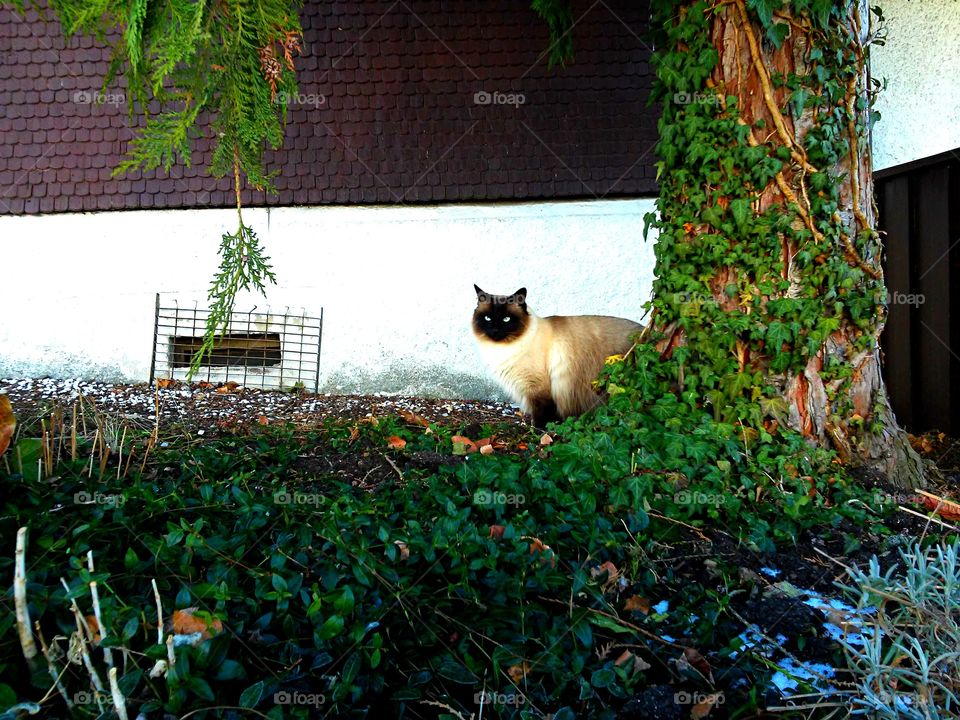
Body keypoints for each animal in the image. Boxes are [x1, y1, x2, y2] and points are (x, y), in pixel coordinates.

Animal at [470, 286, 640, 428]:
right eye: (487, 318)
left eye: (506, 319)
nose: (495, 330)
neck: (501, 349)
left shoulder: (538, 388)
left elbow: (543, 413)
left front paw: (540, 430)